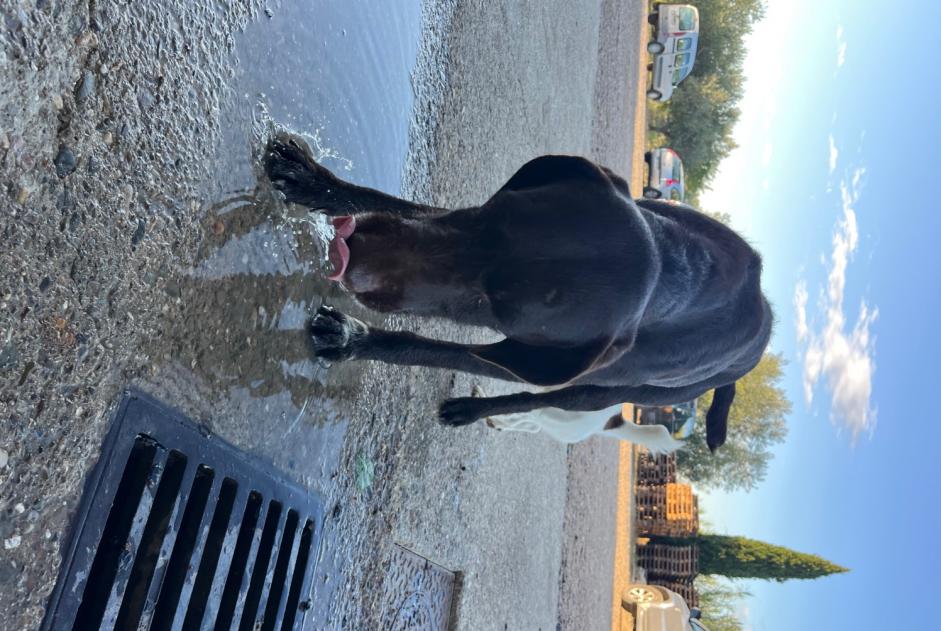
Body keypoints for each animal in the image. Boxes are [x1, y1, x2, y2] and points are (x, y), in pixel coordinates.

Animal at [264, 135, 772, 450]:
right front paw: (316, 182)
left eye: (491, 306)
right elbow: (404, 206)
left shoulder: (514, 354)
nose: (354, 252)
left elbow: (426, 349)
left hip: (592, 395)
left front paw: (354, 339)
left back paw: (471, 410)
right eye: (488, 217)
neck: (673, 275)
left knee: (532, 400)